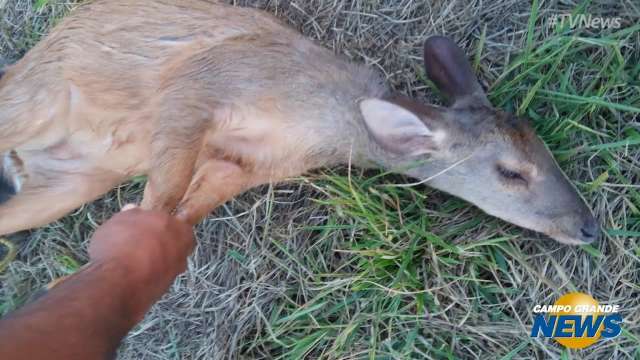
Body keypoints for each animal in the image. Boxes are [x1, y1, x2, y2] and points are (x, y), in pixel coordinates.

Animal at [0, 0, 600, 245]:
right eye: (512, 172)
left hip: (68, 183)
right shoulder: (201, 81)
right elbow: (166, 188)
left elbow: (190, 206)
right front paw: (133, 224)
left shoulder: (246, 163)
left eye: (545, 150)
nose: (589, 228)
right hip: (31, 102)